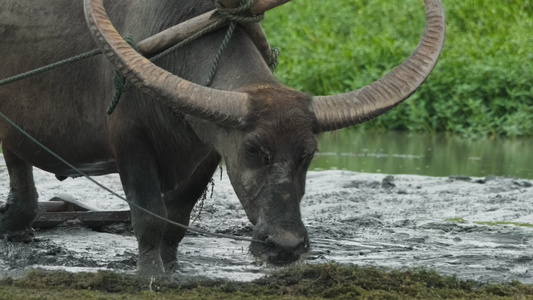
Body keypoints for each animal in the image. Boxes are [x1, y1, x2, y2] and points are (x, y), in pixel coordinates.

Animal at [0, 0, 442, 276]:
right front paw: (151, 274)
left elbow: (176, 220)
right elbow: (149, 217)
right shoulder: (131, 145)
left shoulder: (207, 153)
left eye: (309, 154)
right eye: (253, 149)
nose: (284, 246)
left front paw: (173, 267)